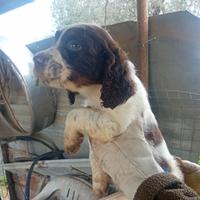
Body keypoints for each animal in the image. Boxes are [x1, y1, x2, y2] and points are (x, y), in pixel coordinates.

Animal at [33, 24, 184, 198]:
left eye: (75, 45)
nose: (35, 59)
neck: (96, 92)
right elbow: (93, 155)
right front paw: (99, 184)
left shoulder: (116, 122)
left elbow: (75, 113)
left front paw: (70, 142)